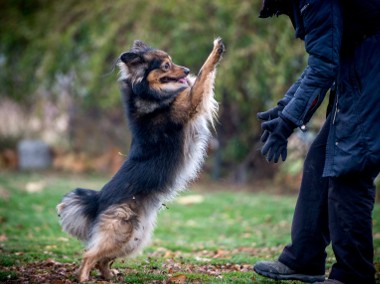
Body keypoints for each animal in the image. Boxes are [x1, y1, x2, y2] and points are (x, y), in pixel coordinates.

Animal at [56, 37, 223, 282]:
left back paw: (109, 275)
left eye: (172, 62)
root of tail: (99, 198)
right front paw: (216, 50)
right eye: (166, 66)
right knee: (90, 254)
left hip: (135, 236)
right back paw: (84, 277)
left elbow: (199, 79)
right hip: (120, 231)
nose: (185, 70)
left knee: (102, 258)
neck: (146, 95)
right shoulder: (191, 102)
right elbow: (203, 73)